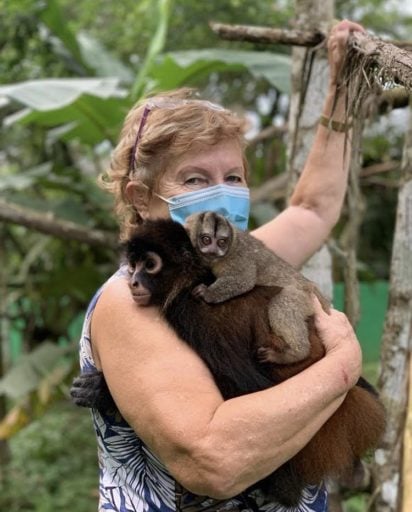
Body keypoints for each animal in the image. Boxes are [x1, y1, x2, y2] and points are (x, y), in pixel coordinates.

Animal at [187, 212, 332, 364]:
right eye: (206, 240)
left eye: (221, 242)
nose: (213, 251)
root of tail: (310, 285)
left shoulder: (238, 258)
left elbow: (244, 280)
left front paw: (207, 292)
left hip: (302, 298)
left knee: (282, 303)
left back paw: (295, 354)